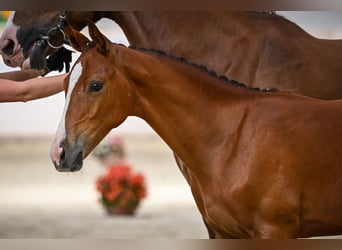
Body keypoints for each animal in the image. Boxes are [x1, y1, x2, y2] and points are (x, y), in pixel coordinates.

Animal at [50, 23, 342, 238]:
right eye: (64, 83)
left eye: (96, 85)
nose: (59, 153)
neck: (235, 139)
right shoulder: (225, 233)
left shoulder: (275, 231)